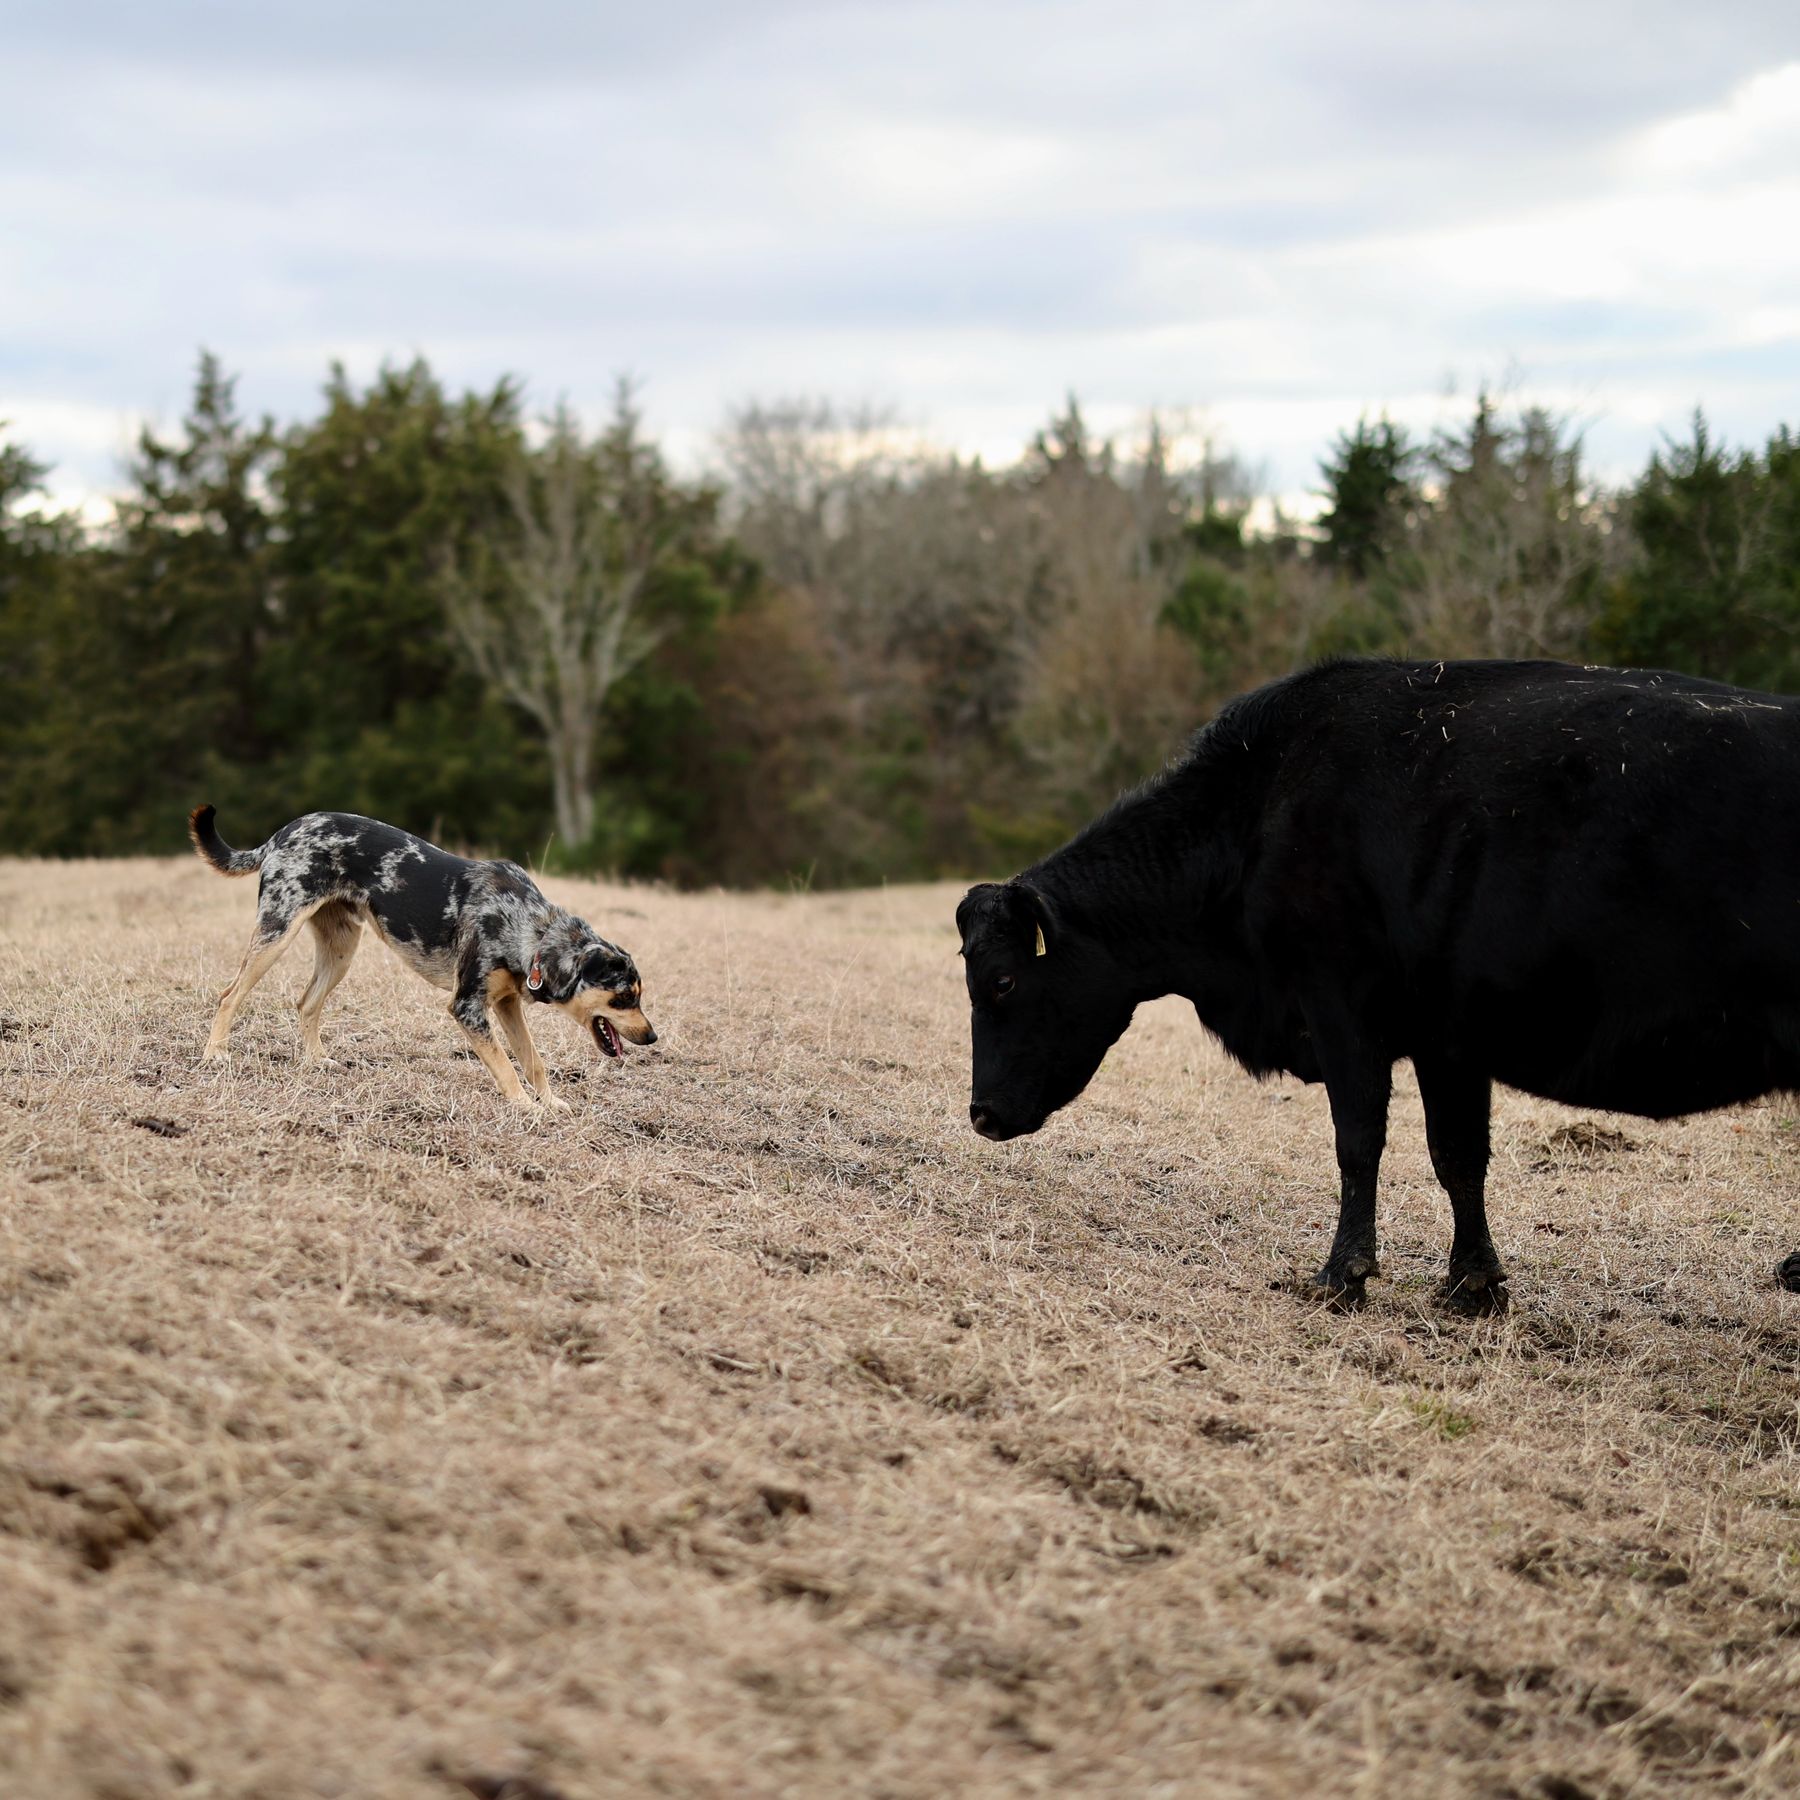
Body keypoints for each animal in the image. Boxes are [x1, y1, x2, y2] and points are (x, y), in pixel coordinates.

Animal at [191, 806, 655, 1108]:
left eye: (638, 995)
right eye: (623, 998)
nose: (653, 1038)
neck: (531, 929)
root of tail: (281, 834)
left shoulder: (506, 1003)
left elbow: (532, 1061)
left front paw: (551, 1103)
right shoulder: (467, 1007)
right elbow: (506, 1067)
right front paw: (527, 1109)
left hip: (341, 949)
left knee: (307, 1002)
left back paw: (317, 1061)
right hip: (277, 933)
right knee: (229, 996)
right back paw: (215, 1054)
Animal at [964, 658, 1800, 1310]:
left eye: (1002, 981)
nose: (980, 1114)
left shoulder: (1341, 1003)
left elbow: (1358, 1138)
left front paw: (1343, 1275)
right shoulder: (1447, 1035)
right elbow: (1457, 1153)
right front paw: (1472, 1285)